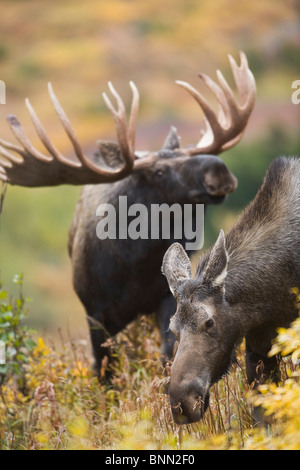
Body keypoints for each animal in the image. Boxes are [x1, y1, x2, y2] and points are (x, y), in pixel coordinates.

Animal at [0, 52, 255, 374]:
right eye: (159, 172)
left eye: (190, 155)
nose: (218, 170)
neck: (136, 268)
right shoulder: (95, 312)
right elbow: (104, 368)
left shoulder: (168, 297)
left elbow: (168, 352)